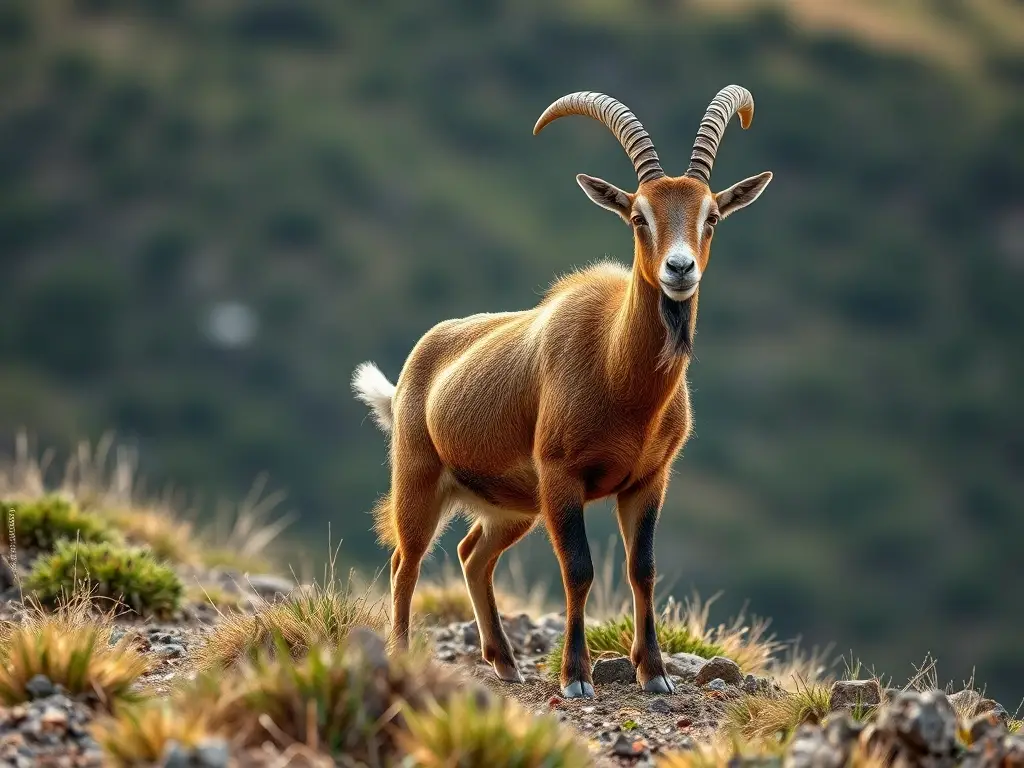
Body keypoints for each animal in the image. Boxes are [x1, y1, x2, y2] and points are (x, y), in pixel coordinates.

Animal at [353, 86, 772, 698]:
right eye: (638, 215)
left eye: (711, 216)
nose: (680, 269)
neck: (619, 373)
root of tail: (418, 364)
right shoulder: (562, 478)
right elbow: (579, 570)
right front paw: (576, 677)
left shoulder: (647, 481)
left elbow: (641, 569)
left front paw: (655, 672)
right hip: (421, 480)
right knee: (405, 563)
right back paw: (406, 654)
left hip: (514, 508)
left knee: (473, 555)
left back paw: (504, 661)